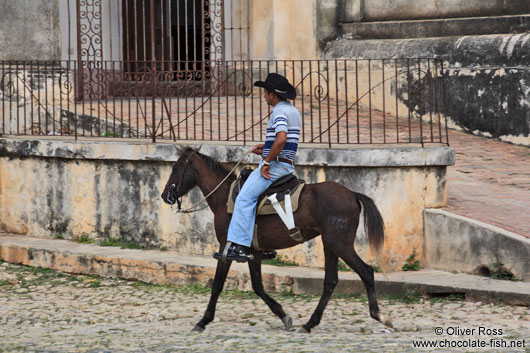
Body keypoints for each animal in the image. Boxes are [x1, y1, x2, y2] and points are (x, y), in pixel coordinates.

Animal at [161, 146, 392, 332]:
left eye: (176, 168)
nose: (165, 196)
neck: (225, 198)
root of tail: (352, 194)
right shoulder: (253, 252)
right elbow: (257, 285)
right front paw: (284, 315)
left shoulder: (227, 248)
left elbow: (218, 284)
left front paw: (203, 321)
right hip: (330, 245)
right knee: (331, 281)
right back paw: (310, 323)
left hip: (340, 244)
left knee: (366, 272)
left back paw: (380, 316)